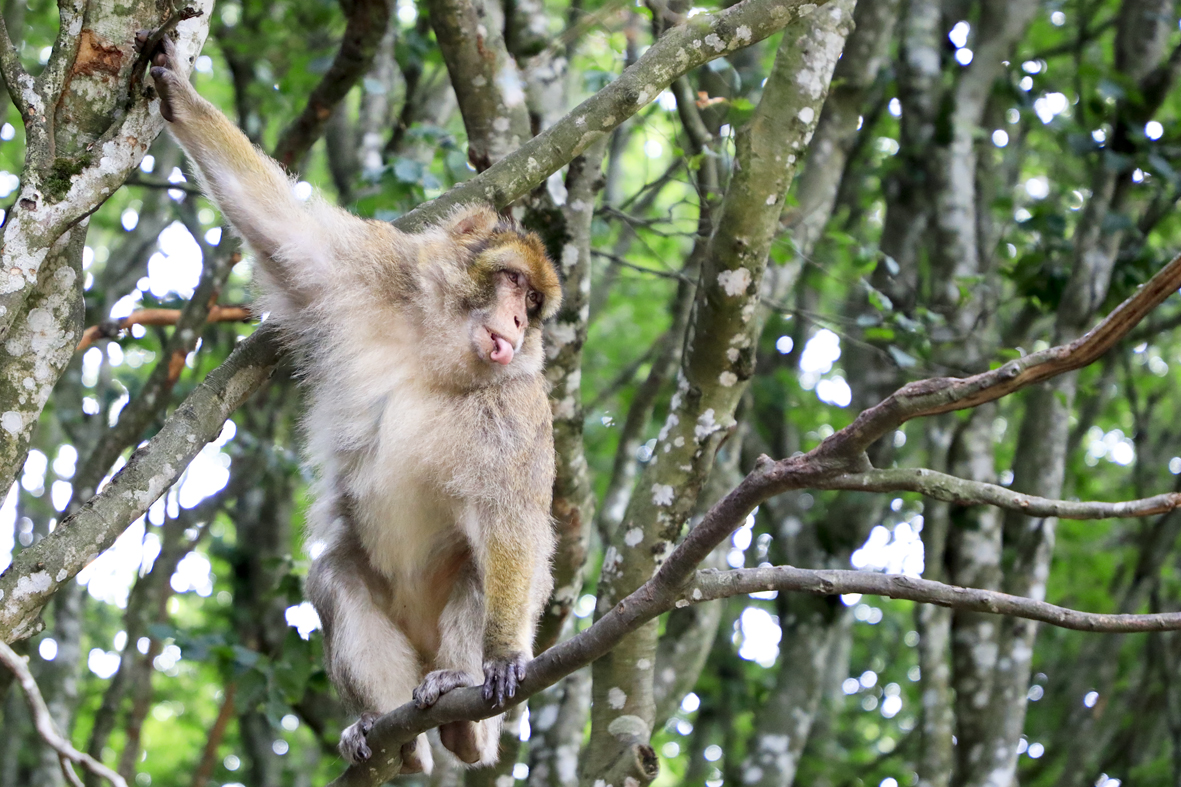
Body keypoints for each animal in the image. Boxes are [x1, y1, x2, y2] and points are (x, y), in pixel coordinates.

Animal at [140, 33, 564, 770]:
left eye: (534, 303)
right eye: (512, 281)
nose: (516, 323)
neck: (436, 352)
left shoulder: (519, 405)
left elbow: (513, 517)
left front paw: (505, 655)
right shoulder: (364, 274)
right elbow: (280, 227)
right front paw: (176, 92)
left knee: (482, 569)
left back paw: (460, 699)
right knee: (335, 573)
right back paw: (387, 733)